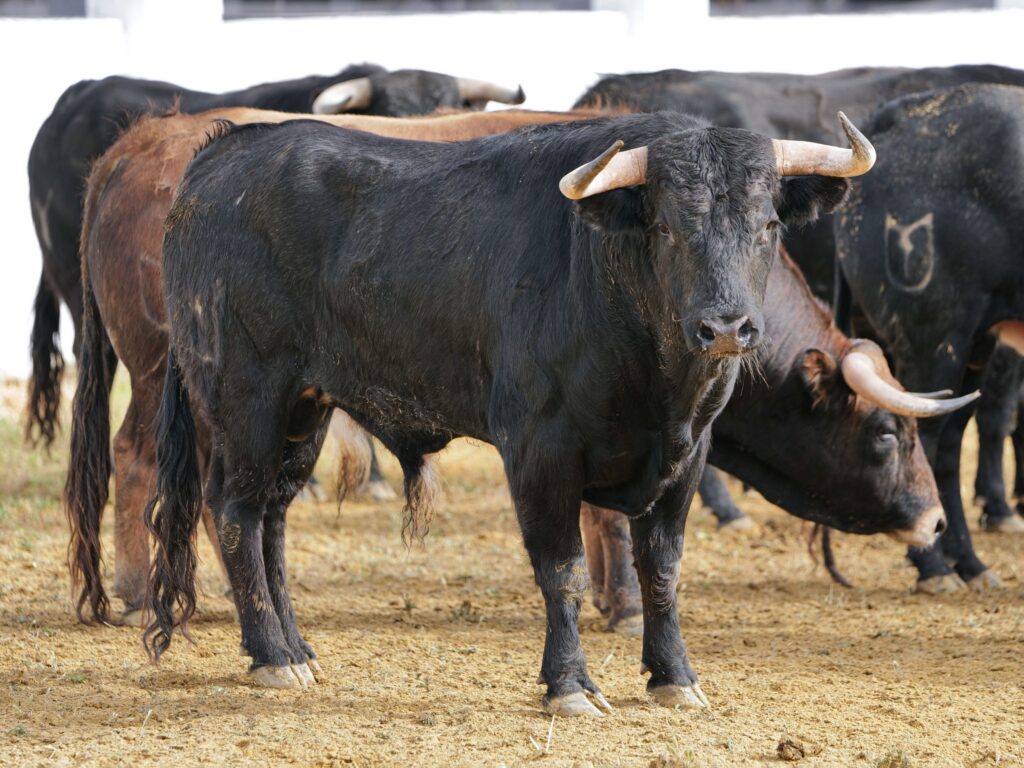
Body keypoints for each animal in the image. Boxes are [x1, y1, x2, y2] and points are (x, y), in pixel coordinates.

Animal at [143, 110, 882, 714]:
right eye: (668, 227)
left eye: (769, 224)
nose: (727, 327)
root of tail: (221, 154)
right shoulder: (538, 451)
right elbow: (562, 570)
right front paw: (571, 685)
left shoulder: (687, 454)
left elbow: (662, 569)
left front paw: (675, 676)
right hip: (246, 398)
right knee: (234, 511)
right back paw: (272, 657)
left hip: (305, 408)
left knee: (272, 518)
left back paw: (297, 650)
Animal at [834, 83, 1024, 592]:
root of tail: (898, 115)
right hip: (935, 338)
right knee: (929, 433)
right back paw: (937, 566)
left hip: (971, 346)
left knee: (951, 442)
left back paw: (969, 563)